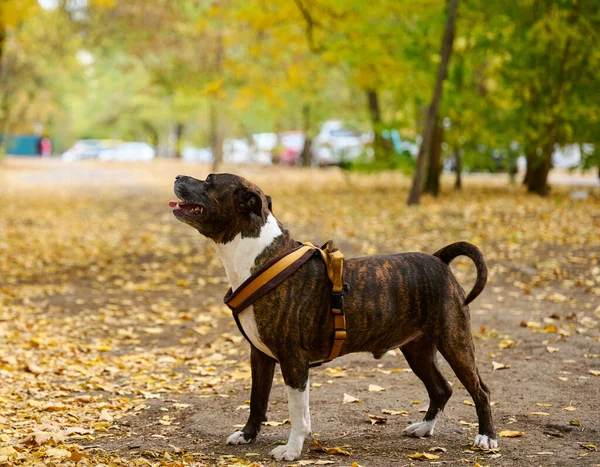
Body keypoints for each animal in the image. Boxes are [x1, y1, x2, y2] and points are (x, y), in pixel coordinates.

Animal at [170, 174, 496, 462]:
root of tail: (439, 258)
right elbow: (258, 399)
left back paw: (486, 437)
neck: (258, 255)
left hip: (454, 341)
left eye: (209, 180)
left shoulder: (293, 360)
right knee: (441, 389)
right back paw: (424, 428)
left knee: (480, 390)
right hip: (417, 350)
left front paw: (291, 450)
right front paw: (248, 435)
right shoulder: (260, 356)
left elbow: (296, 412)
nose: (177, 177)